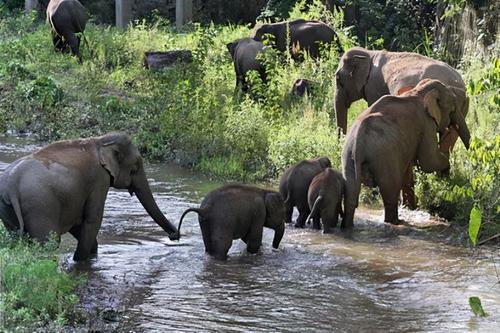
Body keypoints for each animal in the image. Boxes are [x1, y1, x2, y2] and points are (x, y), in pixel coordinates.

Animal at [0, 132, 180, 260]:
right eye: (135, 166)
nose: (174, 236)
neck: (100, 141)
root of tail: (12, 183)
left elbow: (79, 224)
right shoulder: (98, 181)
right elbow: (92, 220)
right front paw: (79, 261)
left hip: (8, 209)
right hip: (40, 206)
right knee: (47, 243)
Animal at [336, 46, 468, 208]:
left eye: (338, 79)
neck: (369, 53)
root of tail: (460, 82)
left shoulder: (374, 86)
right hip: (462, 106)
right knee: (449, 137)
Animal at [342, 79, 470, 227]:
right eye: (453, 107)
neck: (420, 90)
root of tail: (358, 142)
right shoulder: (426, 124)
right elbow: (429, 161)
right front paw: (446, 167)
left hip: (348, 156)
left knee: (351, 193)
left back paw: (348, 226)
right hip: (384, 156)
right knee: (390, 190)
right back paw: (396, 222)